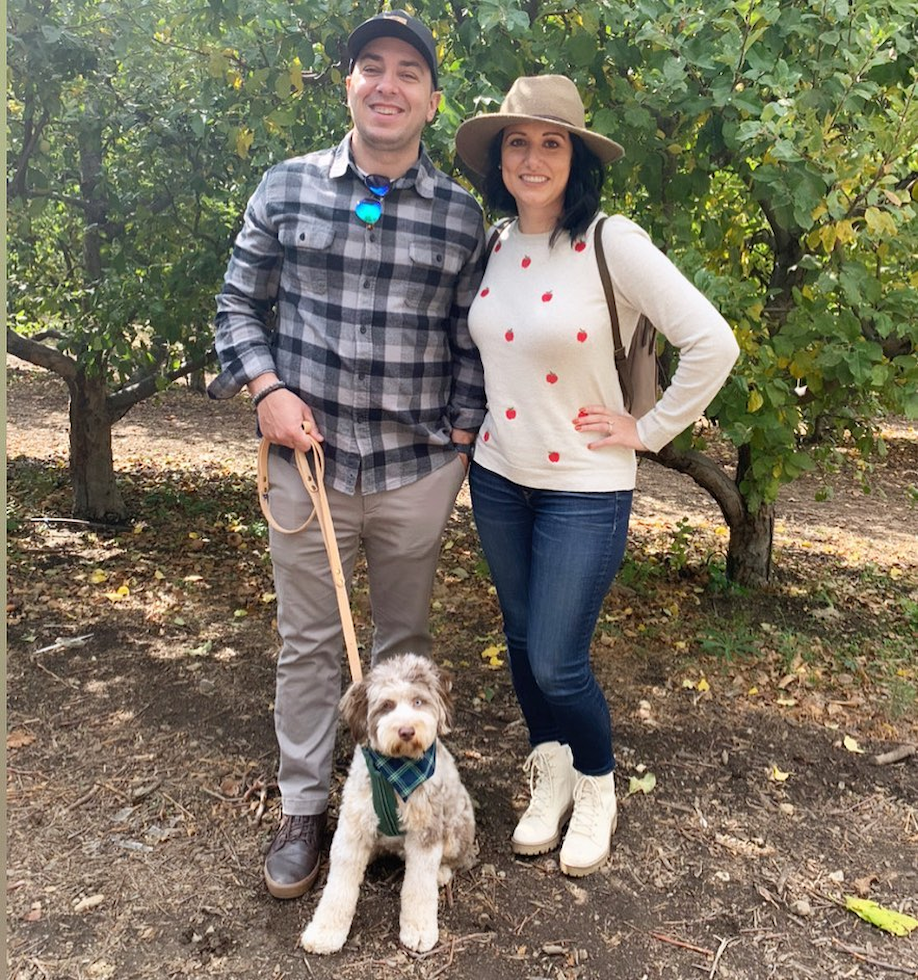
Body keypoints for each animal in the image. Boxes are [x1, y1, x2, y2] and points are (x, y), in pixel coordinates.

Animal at [302, 656, 478, 952]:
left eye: (418, 701)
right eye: (386, 705)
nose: (406, 730)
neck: (396, 772)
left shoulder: (425, 831)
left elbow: (419, 886)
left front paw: (419, 929)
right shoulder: (352, 830)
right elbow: (338, 886)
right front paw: (325, 932)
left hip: (457, 825)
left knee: (457, 860)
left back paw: (441, 872)